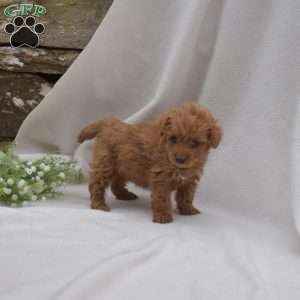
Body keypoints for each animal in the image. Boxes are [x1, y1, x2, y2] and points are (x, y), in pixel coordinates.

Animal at [78, 102, 221, 223]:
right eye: (173, 139)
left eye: (195, 143)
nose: (180, 159)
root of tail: (108, 123)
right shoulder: (161, 179)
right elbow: (162, 198)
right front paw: (163, 217)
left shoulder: (189, 180)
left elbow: (186, 196)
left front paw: (188, 210)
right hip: (105, 164)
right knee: (96, 184)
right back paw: (99, 205)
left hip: (124, 166)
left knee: (116, 184)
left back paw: (125, 195)